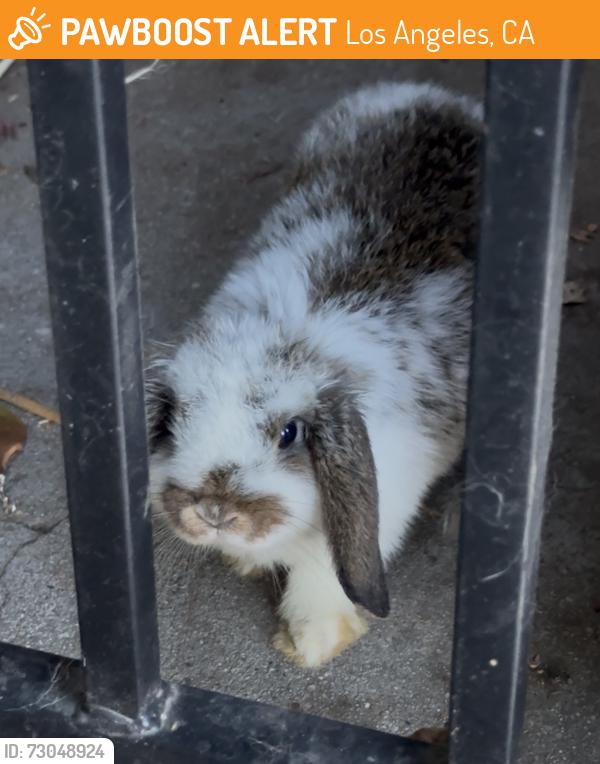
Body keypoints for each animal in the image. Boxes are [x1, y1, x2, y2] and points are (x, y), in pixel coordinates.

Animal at [148, 81, 482, 667]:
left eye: (289, 433)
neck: (295, 338)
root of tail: (438, 97)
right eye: (170, 418)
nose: (213, 510)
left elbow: (320, 580)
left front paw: (312, 645)